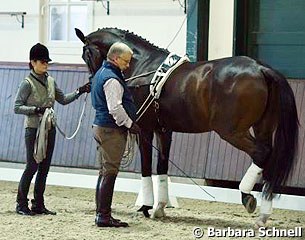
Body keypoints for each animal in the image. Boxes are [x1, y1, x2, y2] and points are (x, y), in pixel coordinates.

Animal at [75, 28, 298, 227]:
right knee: (269, 158)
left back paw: (246, 196)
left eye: (86, 54)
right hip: (262, 128)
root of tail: (261, 69)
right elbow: (162, 166)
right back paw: (263, 216)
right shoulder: (164, 130)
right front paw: (159, 208)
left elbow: (146, 167)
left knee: (261, 153)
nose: (90, 83)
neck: (142, 66)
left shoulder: (144, 129)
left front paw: (146, 207)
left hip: (232, 131)